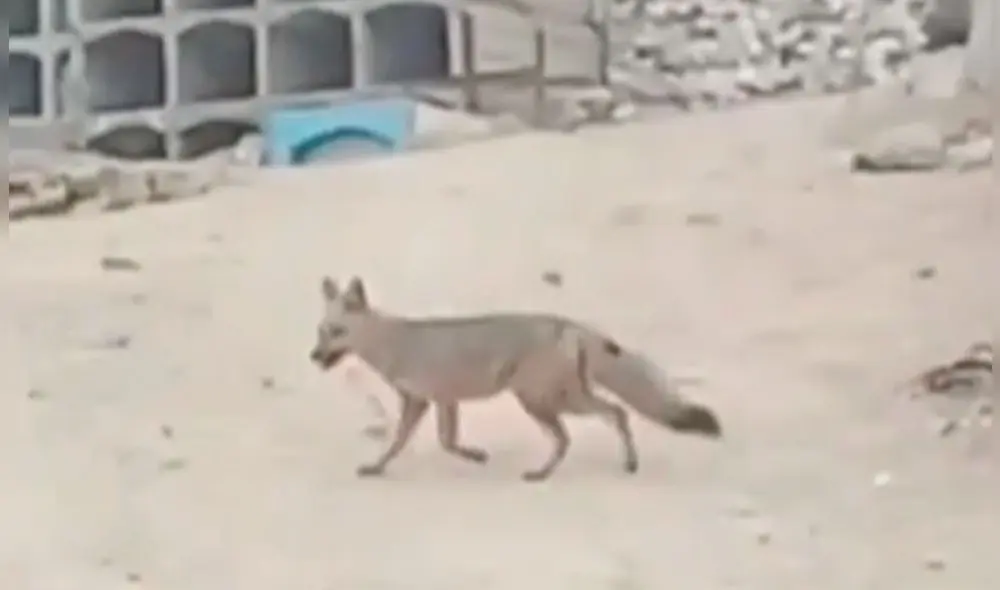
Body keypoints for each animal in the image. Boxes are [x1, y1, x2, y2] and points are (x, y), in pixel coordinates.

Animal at [310, 276, 722, 481]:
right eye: (321, 332)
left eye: (337, 332)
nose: (313, 357)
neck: (393, 343)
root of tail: (572, 326)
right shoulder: (445, 400)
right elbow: (447, 442)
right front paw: (475, 455)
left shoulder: (420, 400)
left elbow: (399, 443)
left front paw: (377, 467)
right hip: (560, 398)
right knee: (614, 414)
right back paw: (625, 464)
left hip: (540, 400)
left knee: (585, 429)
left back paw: (545, 473)